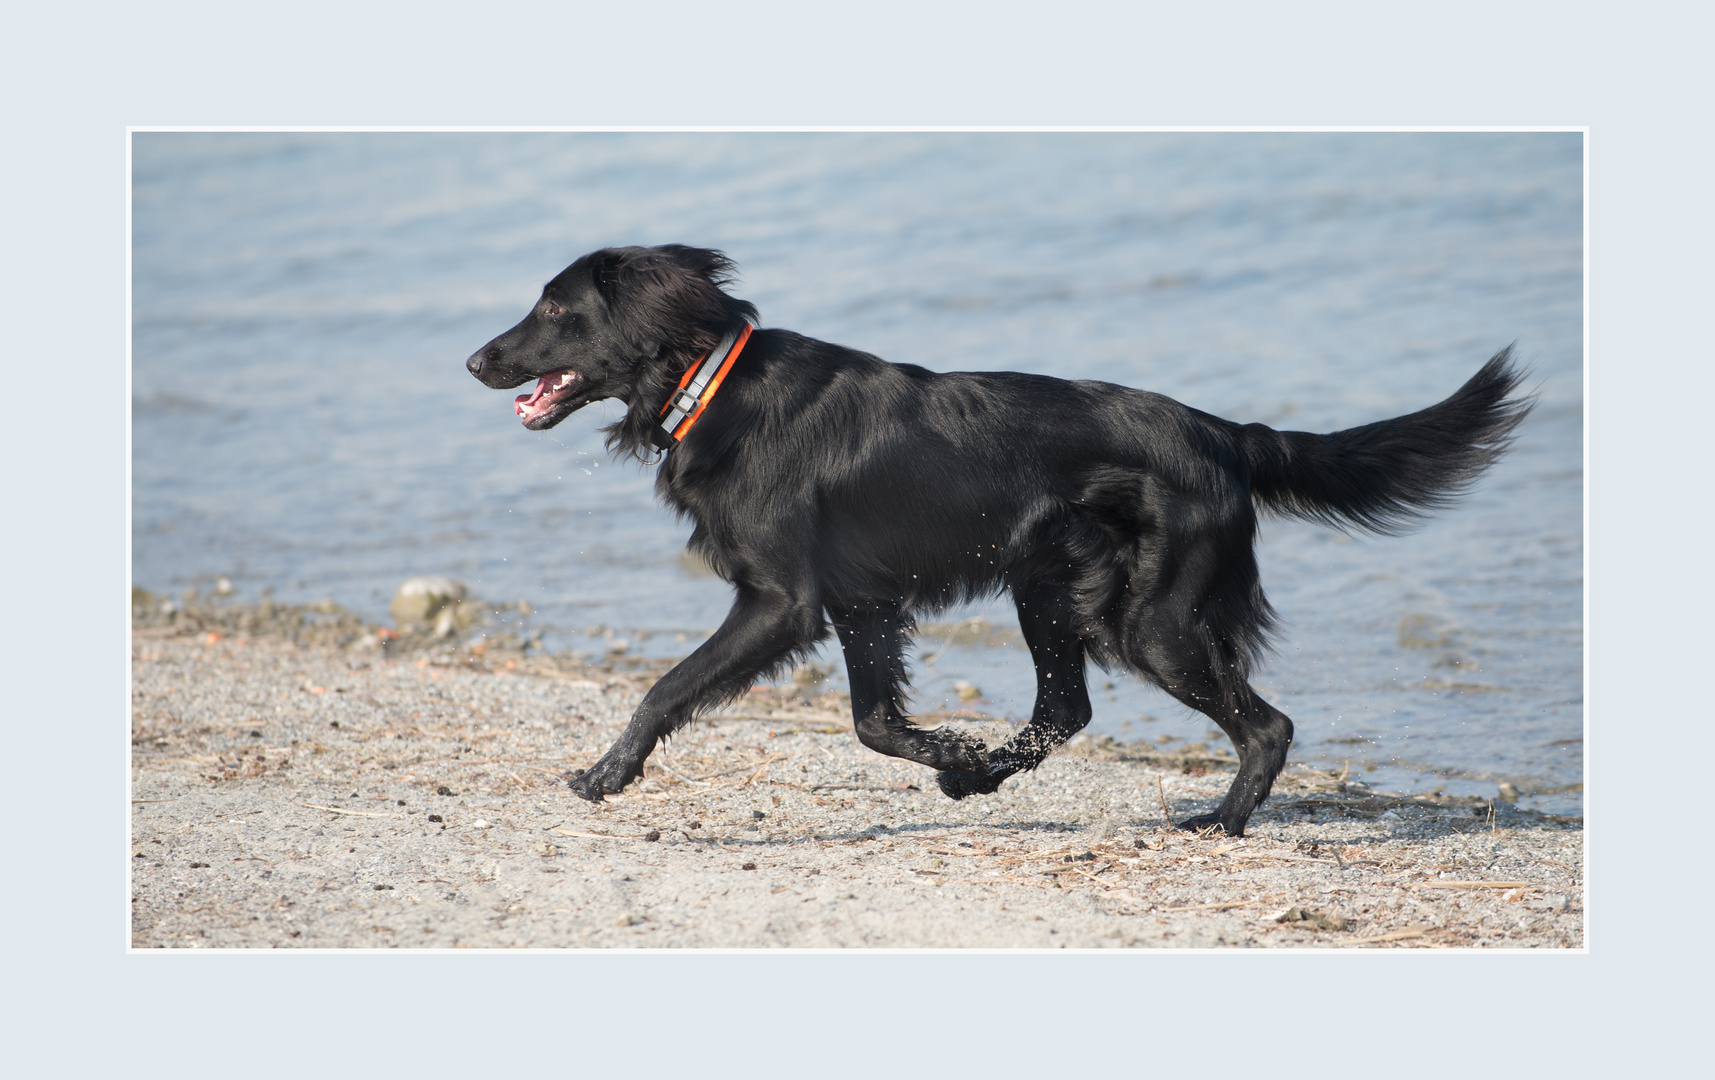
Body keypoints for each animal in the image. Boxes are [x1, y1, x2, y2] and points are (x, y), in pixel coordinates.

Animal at [466, 245, 1529, 836]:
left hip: (1152, 619)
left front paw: (607, 773)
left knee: (1262, 726)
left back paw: (1219, 823)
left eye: (556, 307)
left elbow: (667, 687)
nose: (475, 360)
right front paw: (952, 755)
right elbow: (874, 722)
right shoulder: (860, 601)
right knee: (1067, 708)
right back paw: (979, 777)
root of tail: (1223, 434)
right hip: (1051, 588)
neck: (707, 381)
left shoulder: (782, 600)